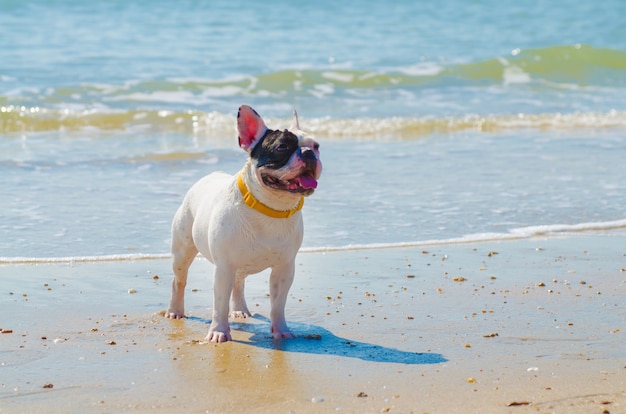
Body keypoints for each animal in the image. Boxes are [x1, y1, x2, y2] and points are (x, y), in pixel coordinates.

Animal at [166, 104, 322, 342]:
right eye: (282, 147)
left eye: (317, 146)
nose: (308, 153)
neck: (270, 207)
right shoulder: (223, 268)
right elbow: (219, 304)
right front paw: (219, 331)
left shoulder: (284, 268)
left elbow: (278, 304)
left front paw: (281, 330)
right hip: (183, 251)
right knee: (179, 281)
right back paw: (175, 311)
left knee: (238, 283)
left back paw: (239, 309)